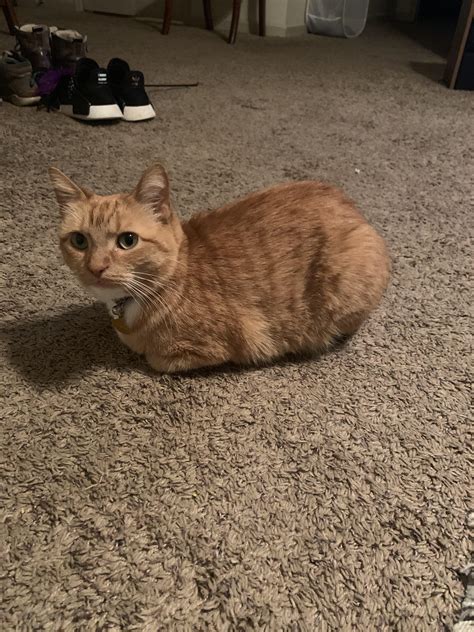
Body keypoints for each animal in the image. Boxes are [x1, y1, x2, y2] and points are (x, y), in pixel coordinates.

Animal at [49, 163, 388, 372]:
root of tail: (352, 206)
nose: (96, 267)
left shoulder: (215, 347)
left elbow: (155, 359)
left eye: (127, 240)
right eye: (79, 241)